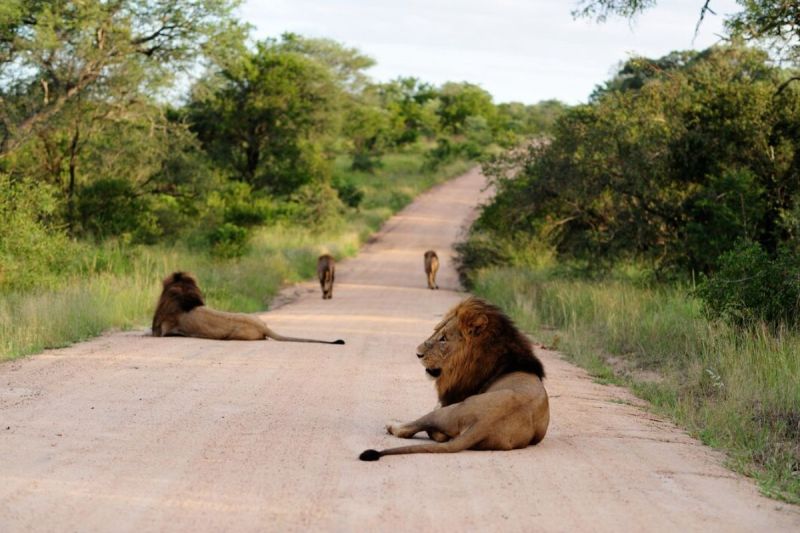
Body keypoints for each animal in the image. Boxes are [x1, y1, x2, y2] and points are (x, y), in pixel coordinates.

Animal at [359, 297, 548, 460]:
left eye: (443, 339)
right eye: (436, 331)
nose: (417, 354)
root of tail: (484, 423)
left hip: (447, 412)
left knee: (409, 429)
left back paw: (393, 425)